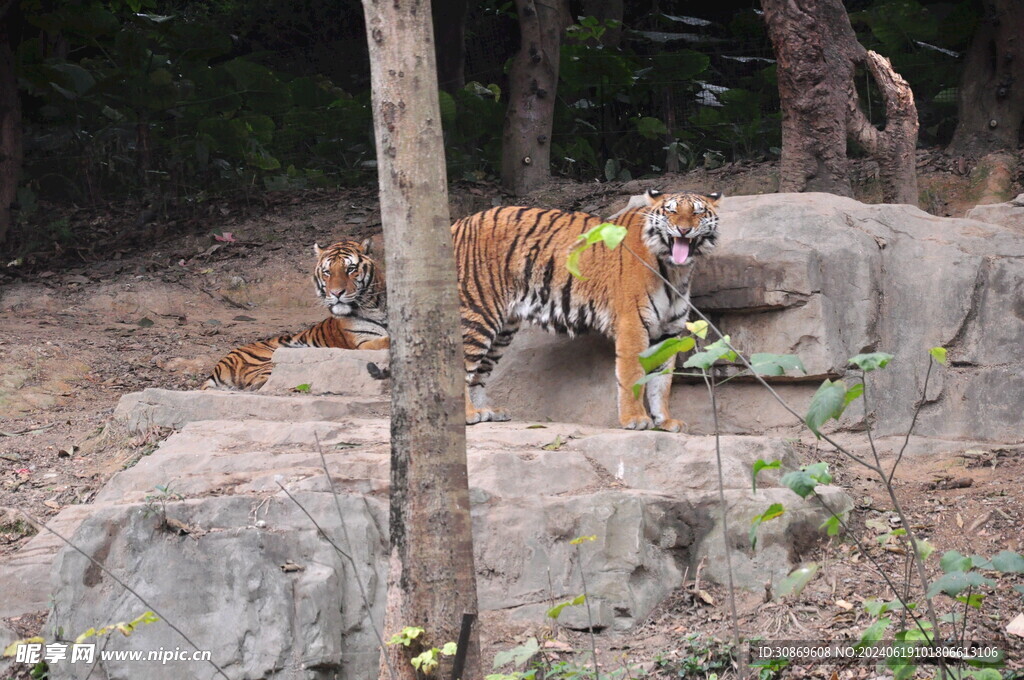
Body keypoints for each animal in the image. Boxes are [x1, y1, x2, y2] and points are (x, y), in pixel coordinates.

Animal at [203, 238, 387, 391]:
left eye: (350, 269)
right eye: (327, 272)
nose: (336, 293)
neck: (376, 305)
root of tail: (219, 365)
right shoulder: (362, 343)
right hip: (269, 360)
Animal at [456, 188, 720, 428]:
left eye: (697, 212)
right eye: (671, 211)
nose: (683, 230)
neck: (676, 271)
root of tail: (459, 223)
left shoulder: (669, 332)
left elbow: (662, 382)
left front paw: (664, 420)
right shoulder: (633, 325)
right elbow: (632, 375)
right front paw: (635, 419)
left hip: (504, 328)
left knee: (479, 373)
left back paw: (487, 411)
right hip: (478, 312)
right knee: (464, 367)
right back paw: (469, 415)